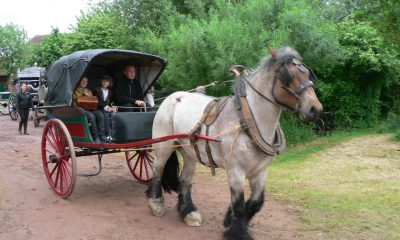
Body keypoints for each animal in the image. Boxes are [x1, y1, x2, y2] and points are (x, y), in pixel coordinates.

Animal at [146, 46, 322, 239]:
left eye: (307, 75)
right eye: (287, 76)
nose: (315, 109)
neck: (248, 120)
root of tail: (172, 97)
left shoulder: (260, 171)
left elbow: (257, 201)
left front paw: (228, 220)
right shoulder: (236, 172)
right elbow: (239, 206)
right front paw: (237, 232)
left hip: (190, 153)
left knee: (185, 179)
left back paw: (188, 212)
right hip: (164, 146)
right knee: (157, 169)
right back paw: (156, 203)